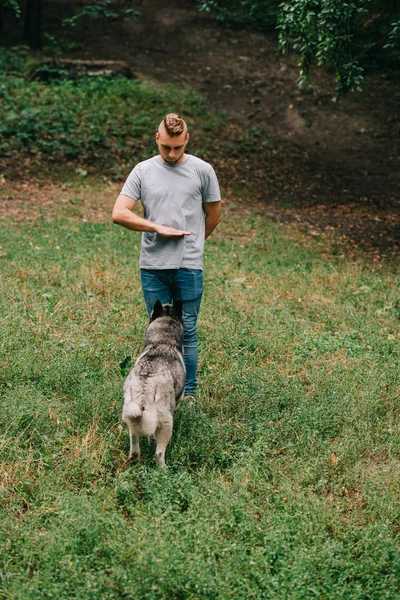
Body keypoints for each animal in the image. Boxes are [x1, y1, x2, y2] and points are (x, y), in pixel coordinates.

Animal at [122, 300, 186, 468]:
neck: (162, 341)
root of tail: (146, 383)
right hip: (166, 422)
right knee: (159, 452)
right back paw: (164, 470)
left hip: (131, 413)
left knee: (134, 443)